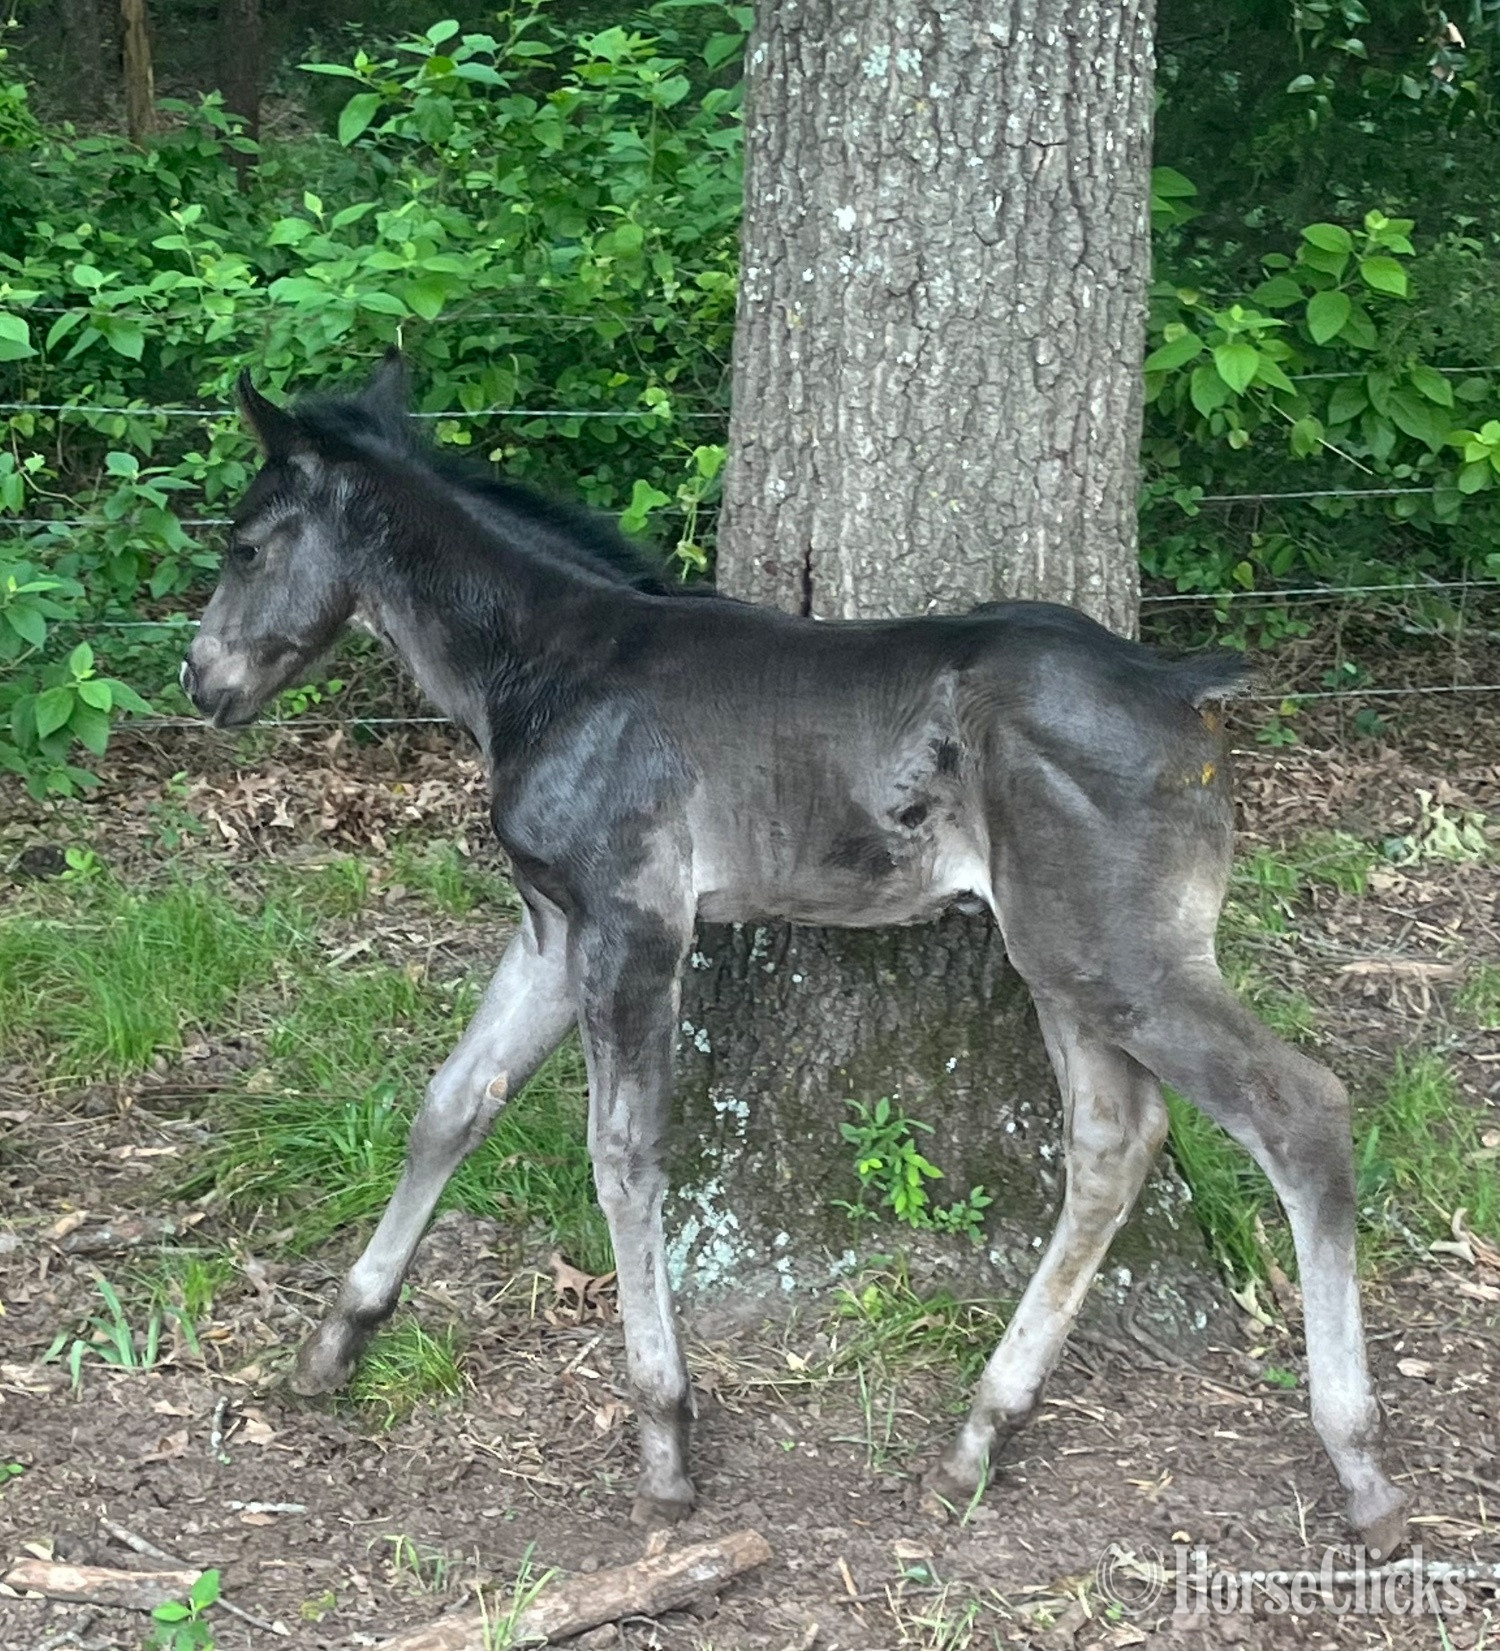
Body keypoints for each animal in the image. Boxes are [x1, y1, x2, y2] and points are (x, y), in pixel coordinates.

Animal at [182, 355, 1408, 1557]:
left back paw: (1359, 1465)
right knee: (1115, 1141)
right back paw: (978, 1436)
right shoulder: (551, 924)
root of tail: (1185, 691)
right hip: (1064, 958)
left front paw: (666, 1444)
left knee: (1298, 1110)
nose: (204, 680)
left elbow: (624, 1155)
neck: (547, 665)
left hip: (1115, 952)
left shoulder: (635, 920)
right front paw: (334, 1344)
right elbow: (453, 1103)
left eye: (244, 544)